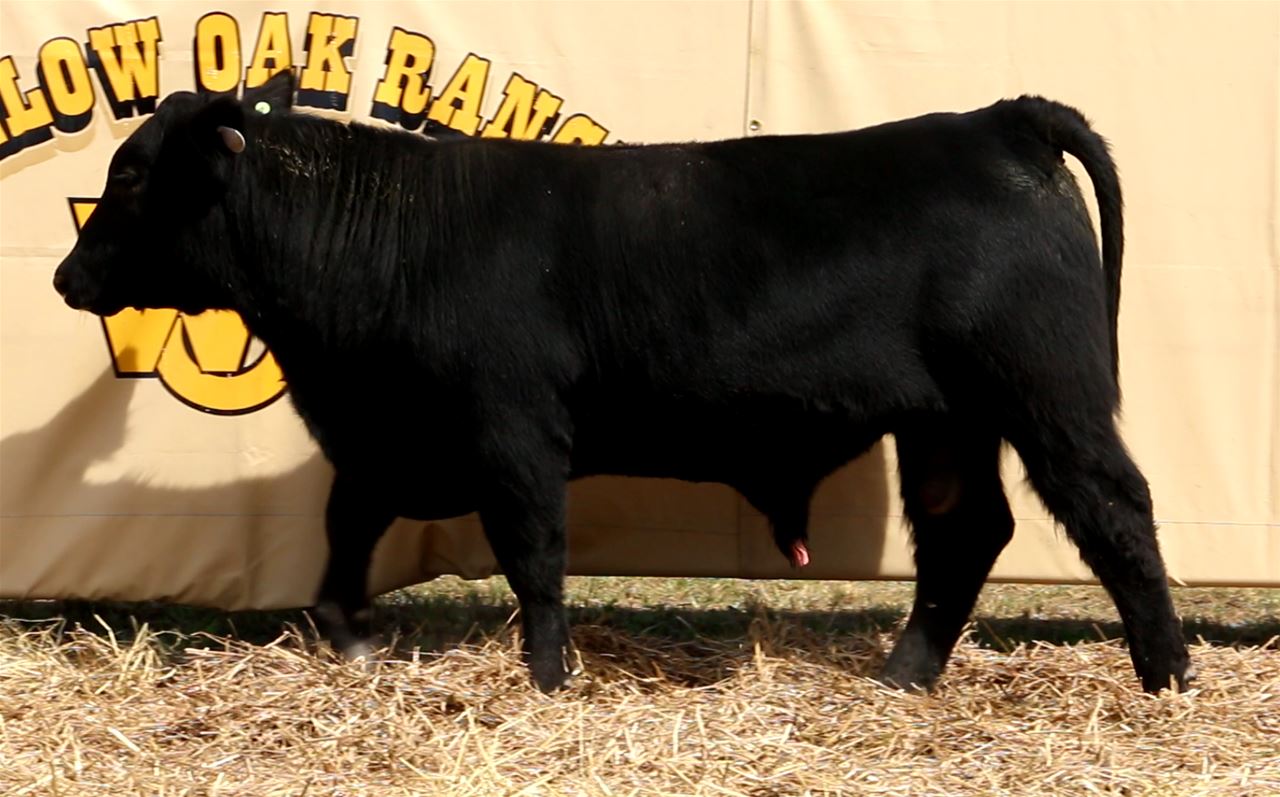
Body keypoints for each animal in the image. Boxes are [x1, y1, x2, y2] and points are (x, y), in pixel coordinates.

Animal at [54, 70, 1192, 694]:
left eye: (136, 174)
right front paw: (351, 639)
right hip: (945, 420)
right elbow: (344, 537)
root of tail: (995, 120)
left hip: (1047, 391)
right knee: (965, 530)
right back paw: (903, 674)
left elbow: (533, 553)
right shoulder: (384, 436)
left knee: (1114, 509)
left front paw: (550, 677)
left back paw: (1167, 675)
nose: (68, 275)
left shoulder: (512, 429)